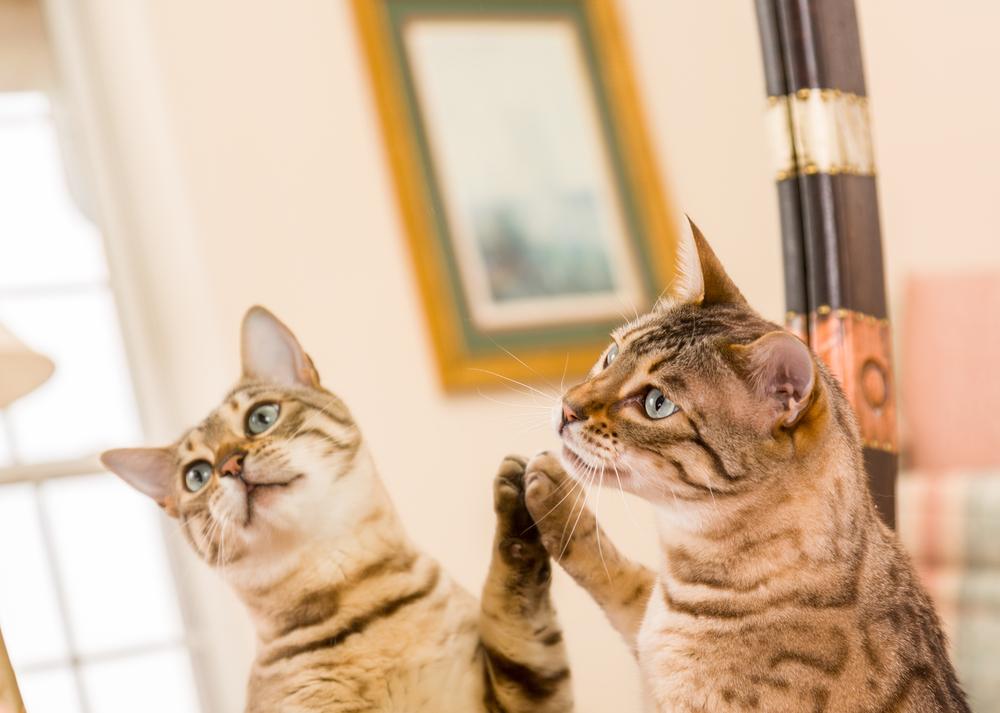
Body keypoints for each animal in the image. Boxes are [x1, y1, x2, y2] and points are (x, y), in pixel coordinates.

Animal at [103, 308, 572, 712]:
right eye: (197, 476)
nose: (229, 465)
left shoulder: (524, 693)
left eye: (261, 417)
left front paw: (523, 499)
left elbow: (513, 608)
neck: (353, 590)